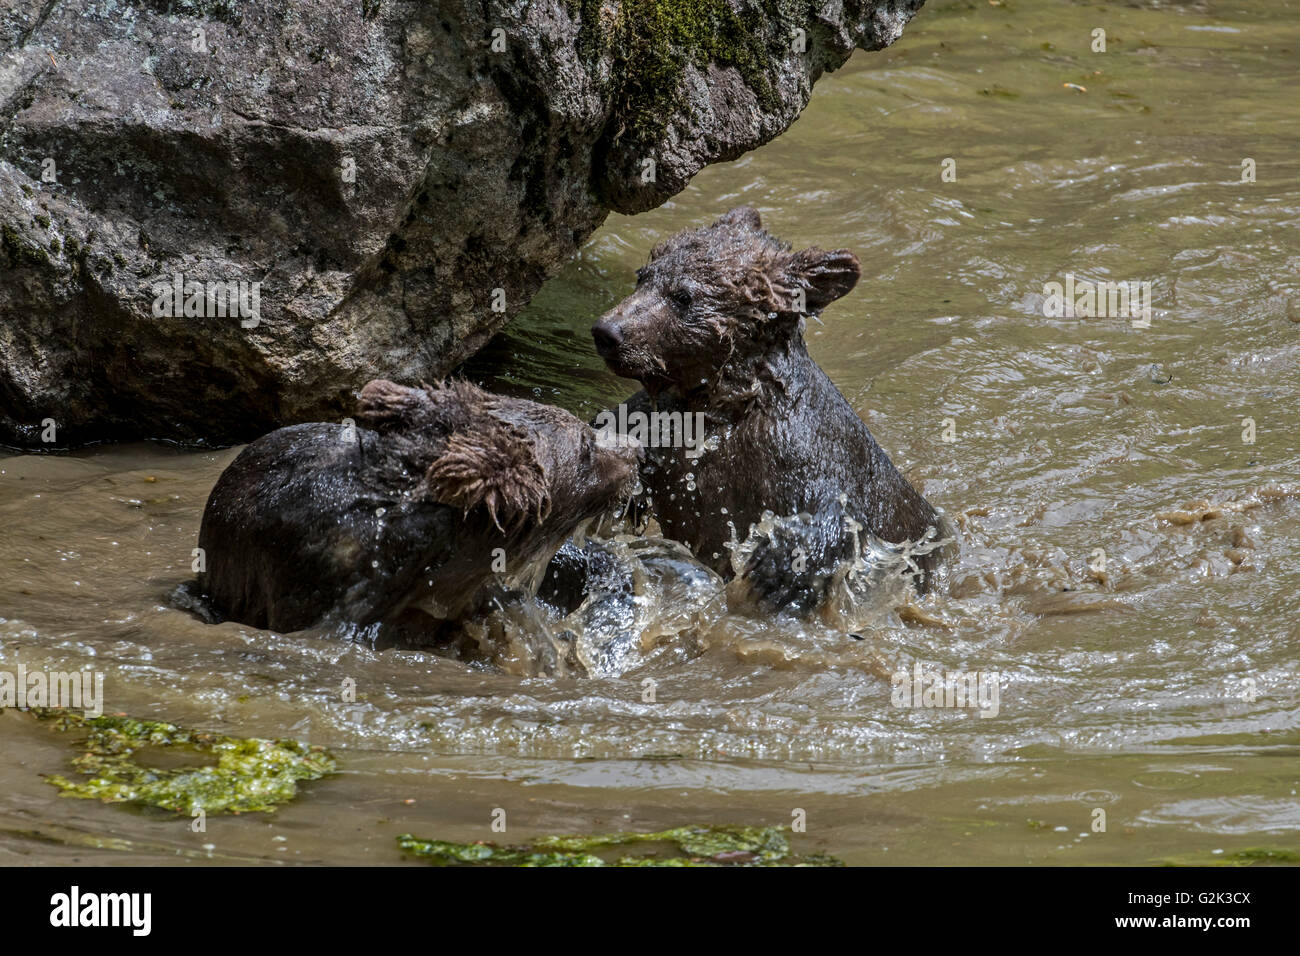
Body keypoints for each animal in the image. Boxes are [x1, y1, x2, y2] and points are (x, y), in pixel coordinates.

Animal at [589, 206, 949, 613]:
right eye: (643, 276)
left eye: (683, 296)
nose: (608, 331)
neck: (723, 404)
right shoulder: (662, 430)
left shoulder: (801, 454)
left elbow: (836, 516)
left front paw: (776, 567)